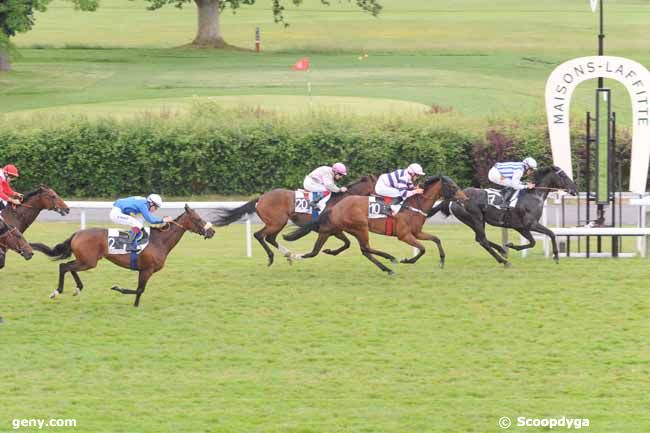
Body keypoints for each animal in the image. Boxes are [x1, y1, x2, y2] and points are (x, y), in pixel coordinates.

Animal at [29, 204, 215, 306]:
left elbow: (140, 290)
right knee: (64, 266)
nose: (212, 231)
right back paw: (57, 291)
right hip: (89, 261)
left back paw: (77, 288)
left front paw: (134, 303)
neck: (159, 241)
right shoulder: (147, 270)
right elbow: (139, 289)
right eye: (198, 219)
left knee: (69, 267)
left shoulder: (144, 270)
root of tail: (77, 233)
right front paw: (120, 290)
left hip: (85, 260)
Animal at [210, 174, 378, 264]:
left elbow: (347, 243)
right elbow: (346, 243)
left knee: (270, 238)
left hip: (277, 223)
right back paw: (272, 257)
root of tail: (261, 198)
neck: (342, 200)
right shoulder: (328, 229)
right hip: (277, 222)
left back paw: (289, 255)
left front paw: (330, 251)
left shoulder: (335, 229)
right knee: (260, 235)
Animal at [284, 176, 466, 274]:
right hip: (360, 227)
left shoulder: (416, 233)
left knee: (362, 250)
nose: (465, 198)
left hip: (346, 229)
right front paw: (407, 260)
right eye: (452, 186)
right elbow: (422, 249)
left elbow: (436, 239)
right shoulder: (404, 235)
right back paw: (390, 259)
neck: (415, 204)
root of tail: (335, 207)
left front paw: (441, 261)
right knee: (365, 248)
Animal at [428, 164, 576, 264]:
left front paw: (511, 246)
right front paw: (556, 256)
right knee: (482, 240)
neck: (533, 195)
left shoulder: (521, 227)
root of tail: (454, 199)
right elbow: (551, 233)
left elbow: (533, 242)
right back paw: (503, 260)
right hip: (475, 218)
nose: (574, 188)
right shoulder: (530, 224)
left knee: (480, 238)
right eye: (563, 175)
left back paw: (502, 250)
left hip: (476, 221)